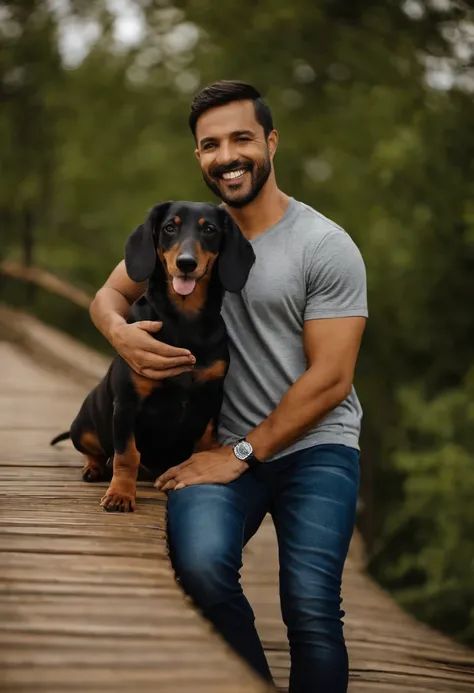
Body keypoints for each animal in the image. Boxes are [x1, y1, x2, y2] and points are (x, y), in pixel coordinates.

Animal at [51, 200, 256, 508]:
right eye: (170, 227)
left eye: (209, 229)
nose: (186, 264)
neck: (184, 321)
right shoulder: (127, 404)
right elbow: (127, 455)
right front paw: (120, 494)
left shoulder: (211, 397)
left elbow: (204, 444)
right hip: (83, 426)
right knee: (95, 451)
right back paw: (95, 468)